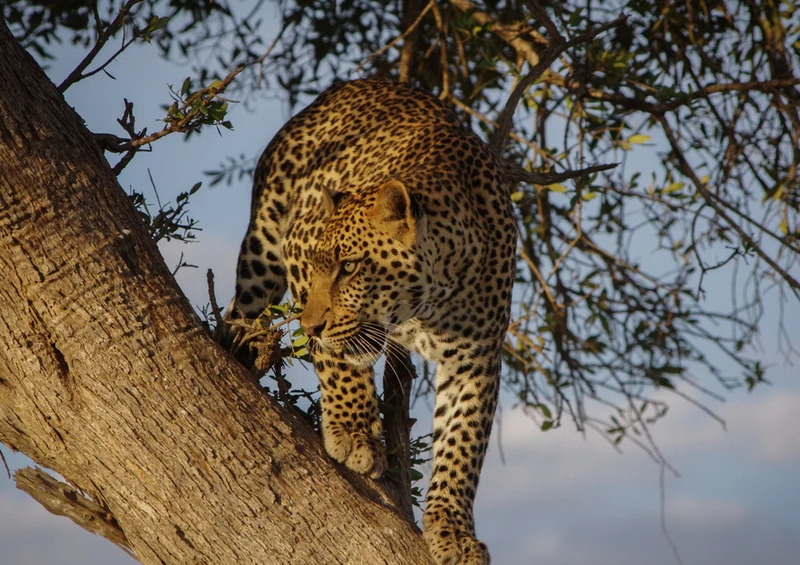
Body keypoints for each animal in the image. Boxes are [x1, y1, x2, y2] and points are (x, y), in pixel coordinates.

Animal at [231, 79, 517, 565]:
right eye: (320, 265)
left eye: (349, 268)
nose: (309, 327)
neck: (428, 301)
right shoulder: (297, 245)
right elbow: (338, 362)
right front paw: (354, 433)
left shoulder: (476, 359)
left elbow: (462, 446)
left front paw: (452, 531)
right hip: (263, 248)